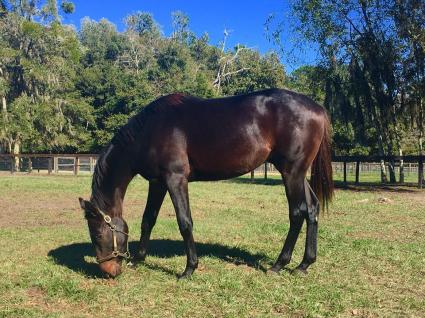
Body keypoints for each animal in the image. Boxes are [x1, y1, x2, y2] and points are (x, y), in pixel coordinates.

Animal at [78, 88, 332, 278]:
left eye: (97, 235)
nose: (108, 271)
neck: (149, 131)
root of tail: (318, 109)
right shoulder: (157, 183)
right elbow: (148, 220)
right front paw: (138, 260)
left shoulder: (175, 179)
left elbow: (184, 222)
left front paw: (189, 268)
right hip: (297, 173)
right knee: (312, 209)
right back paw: (304, 264)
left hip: (291, 173)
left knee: (297, 213)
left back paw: (279, 264)